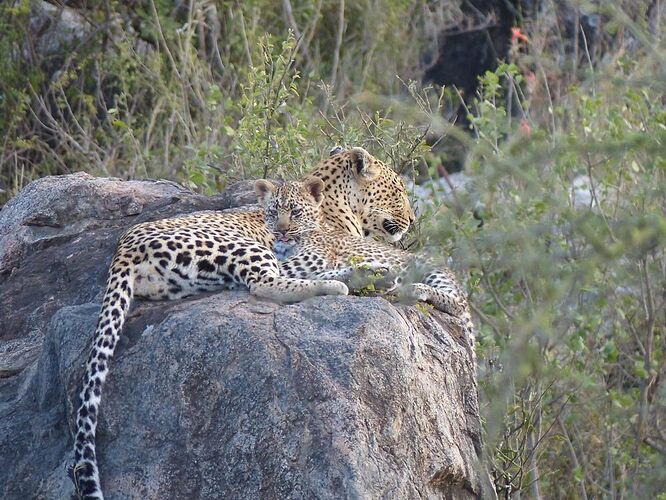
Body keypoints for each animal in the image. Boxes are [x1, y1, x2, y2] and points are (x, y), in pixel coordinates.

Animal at [65, 146, 412, 500]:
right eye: (398, 191)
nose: (412, 221)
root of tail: (124, 246)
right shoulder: (298, 256)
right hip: (246, 247)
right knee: (264, 283)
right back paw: (344, 284)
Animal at [253, 179, 472, 348]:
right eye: (273, 212)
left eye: (295, 211)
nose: (282, 230)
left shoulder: (312, 259)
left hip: (433, 270)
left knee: (458, 305)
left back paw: (413, 288)